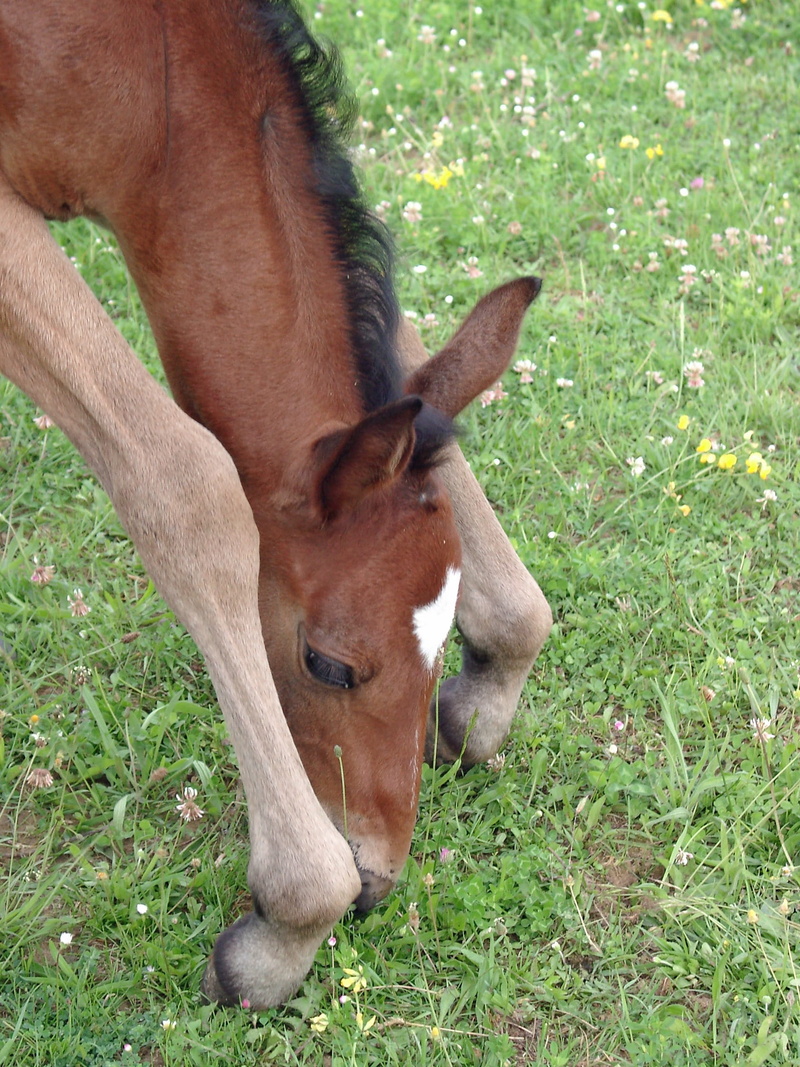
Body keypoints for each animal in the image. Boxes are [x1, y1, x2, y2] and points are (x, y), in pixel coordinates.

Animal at [0, 0, 552, 1008]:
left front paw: (496, 673)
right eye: (328, 664)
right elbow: (184, 485)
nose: (377, 874)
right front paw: (292, 920)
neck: (140, 68)